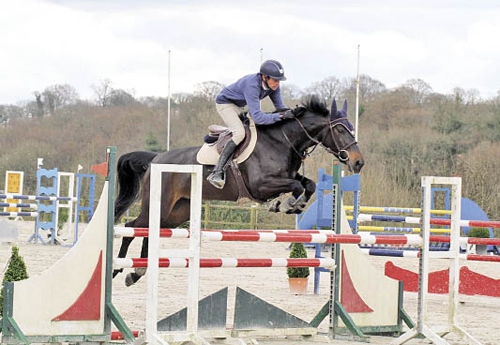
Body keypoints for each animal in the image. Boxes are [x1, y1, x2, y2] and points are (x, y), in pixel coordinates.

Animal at [113, 94, 364, 284]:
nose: (359, 163)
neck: (282, 141)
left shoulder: (288, 177)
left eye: (352, 129)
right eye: (340, 130)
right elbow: (294, 186)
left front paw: (293, 204)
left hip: (176, 212)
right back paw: (118, 269)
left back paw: (137, 272)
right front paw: (287, 204)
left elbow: (308, 184)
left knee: (150, 229)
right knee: (132, 227)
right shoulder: (261, 185)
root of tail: (156, 158)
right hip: (161, 204)